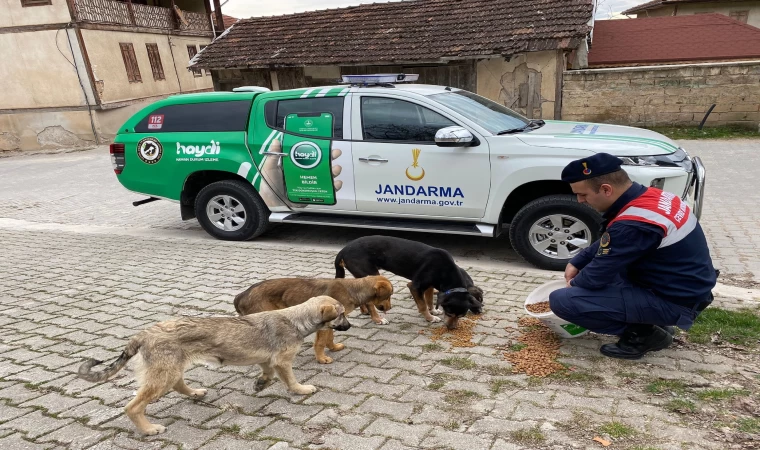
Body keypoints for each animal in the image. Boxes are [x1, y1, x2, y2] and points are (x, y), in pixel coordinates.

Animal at [77, 296, 350, 436]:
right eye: (342, 315)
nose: (349, 326)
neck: (295, 319)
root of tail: (143, 334)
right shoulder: (283, 361)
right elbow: (289, 379)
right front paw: (301, 389)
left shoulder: (268, 359)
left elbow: (268, 372)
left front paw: (261, 383)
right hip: (164, 373)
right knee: (133, 406)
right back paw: (149, 428)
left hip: (171, 368)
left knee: (178, 384)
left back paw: (195, 393)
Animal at [235, 274, 394, 366]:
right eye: (389, 295)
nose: (390, 308)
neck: (352, 290)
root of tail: (240, 296)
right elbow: (321, 342)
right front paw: (322, 359)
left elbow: (330, 338)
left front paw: (333, 348)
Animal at [336, 237, 484, 328]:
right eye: (450, 313)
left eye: (461, 316)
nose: (452, 328)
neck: (445, 268)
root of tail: (343, 250)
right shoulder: (415, 286)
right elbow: (422, 305)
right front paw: (429, 318)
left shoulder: (430, 285)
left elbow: (429, 299)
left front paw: (433, 311)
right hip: (370, 275)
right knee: (370, 301)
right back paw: (377, 319)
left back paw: (365, 311)